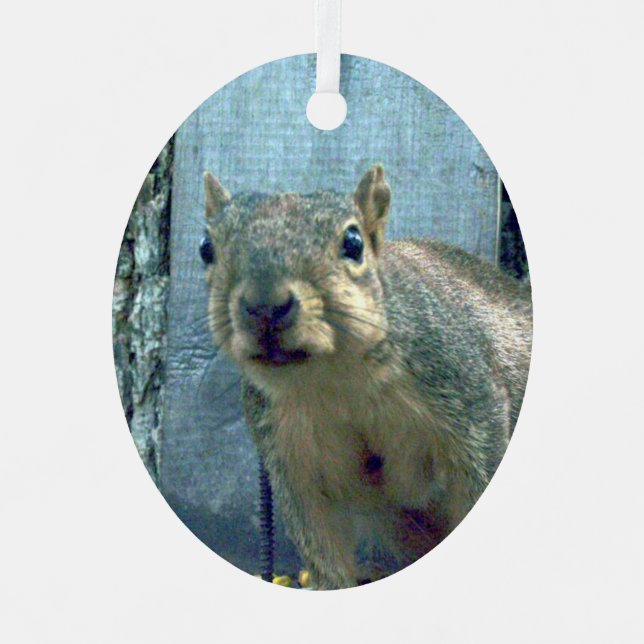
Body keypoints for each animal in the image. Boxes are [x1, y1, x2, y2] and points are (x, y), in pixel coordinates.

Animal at [200, 165, 532, 589]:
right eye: (206, 248)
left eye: (353, 242)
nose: (265, 306)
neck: (336, 380)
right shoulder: (290, 453)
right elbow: (318, 538)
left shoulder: (465, 394)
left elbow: (479, 474)